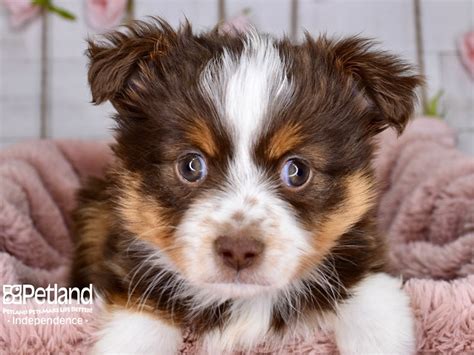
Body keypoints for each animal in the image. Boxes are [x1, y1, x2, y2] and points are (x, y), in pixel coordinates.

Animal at [72, 18, 424, 354]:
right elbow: (139, 320)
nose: (239, 251)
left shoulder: (364, 249)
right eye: (190, 166)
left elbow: (373, 296)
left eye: (297, 171)